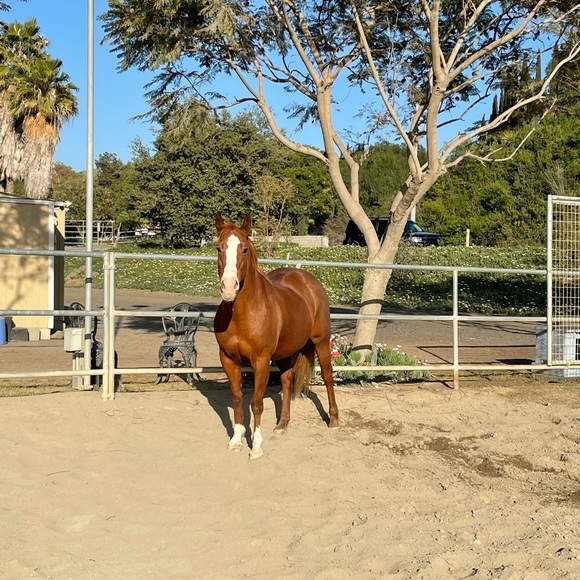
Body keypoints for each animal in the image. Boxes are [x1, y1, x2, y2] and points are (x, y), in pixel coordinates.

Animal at [213, 213, 340, 459]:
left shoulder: (261, 360)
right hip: (285, 352)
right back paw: (282, 425)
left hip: (321, 342)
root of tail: (307, 279)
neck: (241, 314)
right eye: (219, 248)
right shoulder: (228, 359)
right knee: (287, 380)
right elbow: (237, 398)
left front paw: (256, 447)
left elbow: (256, 404)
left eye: (244, 249)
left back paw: (334, 420)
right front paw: (236, 440)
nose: (229, 287)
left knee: (328, 376)